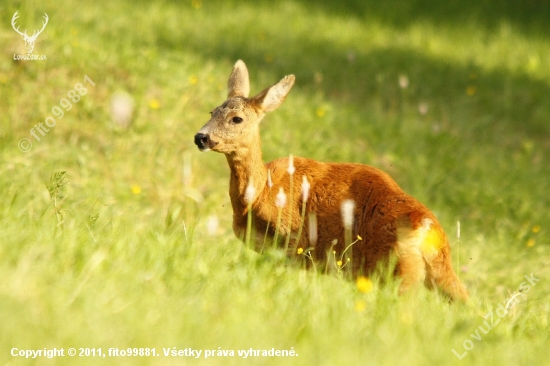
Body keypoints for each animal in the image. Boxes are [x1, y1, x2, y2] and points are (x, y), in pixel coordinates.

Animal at [194, 60, 470, 300]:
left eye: (236, 118)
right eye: (212, 111)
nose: (201, 137)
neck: (261, 194)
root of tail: (431, 232)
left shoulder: (293, 244)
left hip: (398, 270)